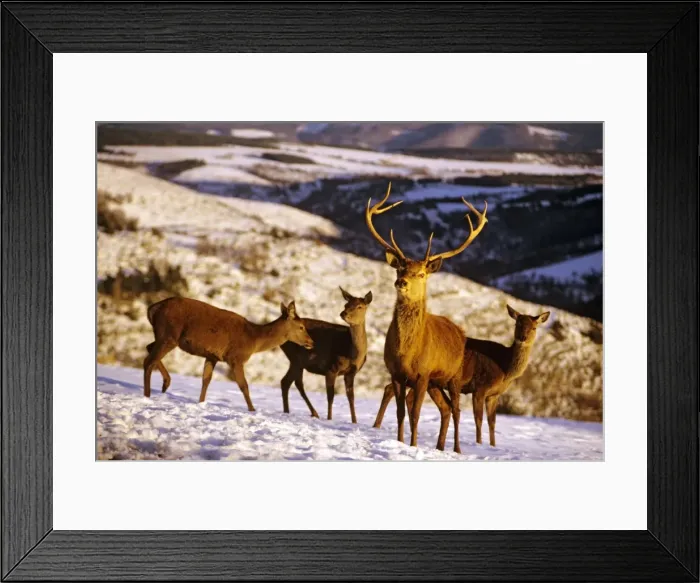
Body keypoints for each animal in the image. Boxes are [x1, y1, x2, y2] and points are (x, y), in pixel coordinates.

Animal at [143, 296, 314, 409]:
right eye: (301, 327)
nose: (311, 342)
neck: (253, 340)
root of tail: (152, 309)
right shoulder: (235, 358)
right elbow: (244, 385)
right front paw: (252, 410)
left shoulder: (212, 356)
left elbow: (206, 380)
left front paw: (201, 403)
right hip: (169, 334)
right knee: (149, 361)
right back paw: (147, 395)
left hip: (162, 335)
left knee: (149, 348)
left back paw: (165, 383)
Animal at [279, 287, 373, 423]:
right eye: (346, 304)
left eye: (360, 306)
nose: (343, 313)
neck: (351, 354)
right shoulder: (331, 368)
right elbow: (330, 396)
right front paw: (329, 419)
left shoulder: (351, 372)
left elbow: (351, 397)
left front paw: (354, 422)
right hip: (295, 358)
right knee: (290, 382)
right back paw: (305, 412)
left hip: (296, 361)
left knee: (289, 382)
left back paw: (296, 411)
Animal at [366, 182, 488, 452]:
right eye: (399, 269)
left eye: (421, 273)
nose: (401, 282)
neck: (407, 353)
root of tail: (460, 331)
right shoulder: (397, 373)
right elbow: (401, 412)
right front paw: (400, 442)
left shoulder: (422, 374)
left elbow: (416, 413)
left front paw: (412, 445)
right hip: (436, 383)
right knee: (444, 409)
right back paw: (440, 446)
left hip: (454, 376)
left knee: (456, 410)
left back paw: (456, 449)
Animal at [372, 304, 550, 448]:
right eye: (517, 324)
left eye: (534, 328)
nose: (522, 338)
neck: (504, 368)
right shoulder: (480, 388)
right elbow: (478, 419)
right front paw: (479, 443)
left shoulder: (494, 395)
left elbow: (492, 422)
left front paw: (493, 446)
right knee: (394, 391)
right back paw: (378, 426)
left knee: (394, 390)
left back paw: (380, 426)